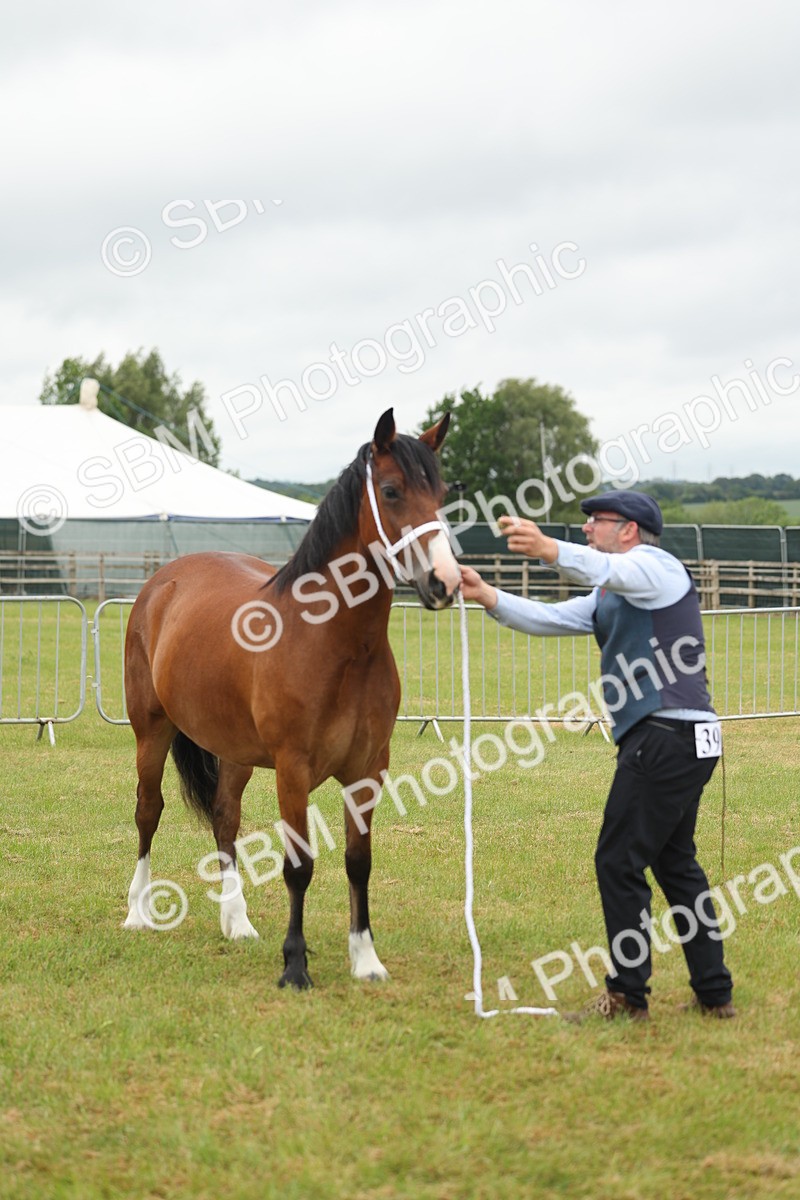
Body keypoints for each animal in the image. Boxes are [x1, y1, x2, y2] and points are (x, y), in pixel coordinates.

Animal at [122, 408, 459, 988]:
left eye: (439, 493)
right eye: (391, 491)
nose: (444, 582)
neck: (337, 643)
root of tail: (163, 581)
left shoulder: (369, 769)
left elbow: (358, 862)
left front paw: (365, 959)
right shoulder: (293, 770)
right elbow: (298, 867)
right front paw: (295, 966)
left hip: (234, 751)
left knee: (225, 817)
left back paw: (237, 923)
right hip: (153, 730)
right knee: (149, 811)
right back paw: (138, 911)